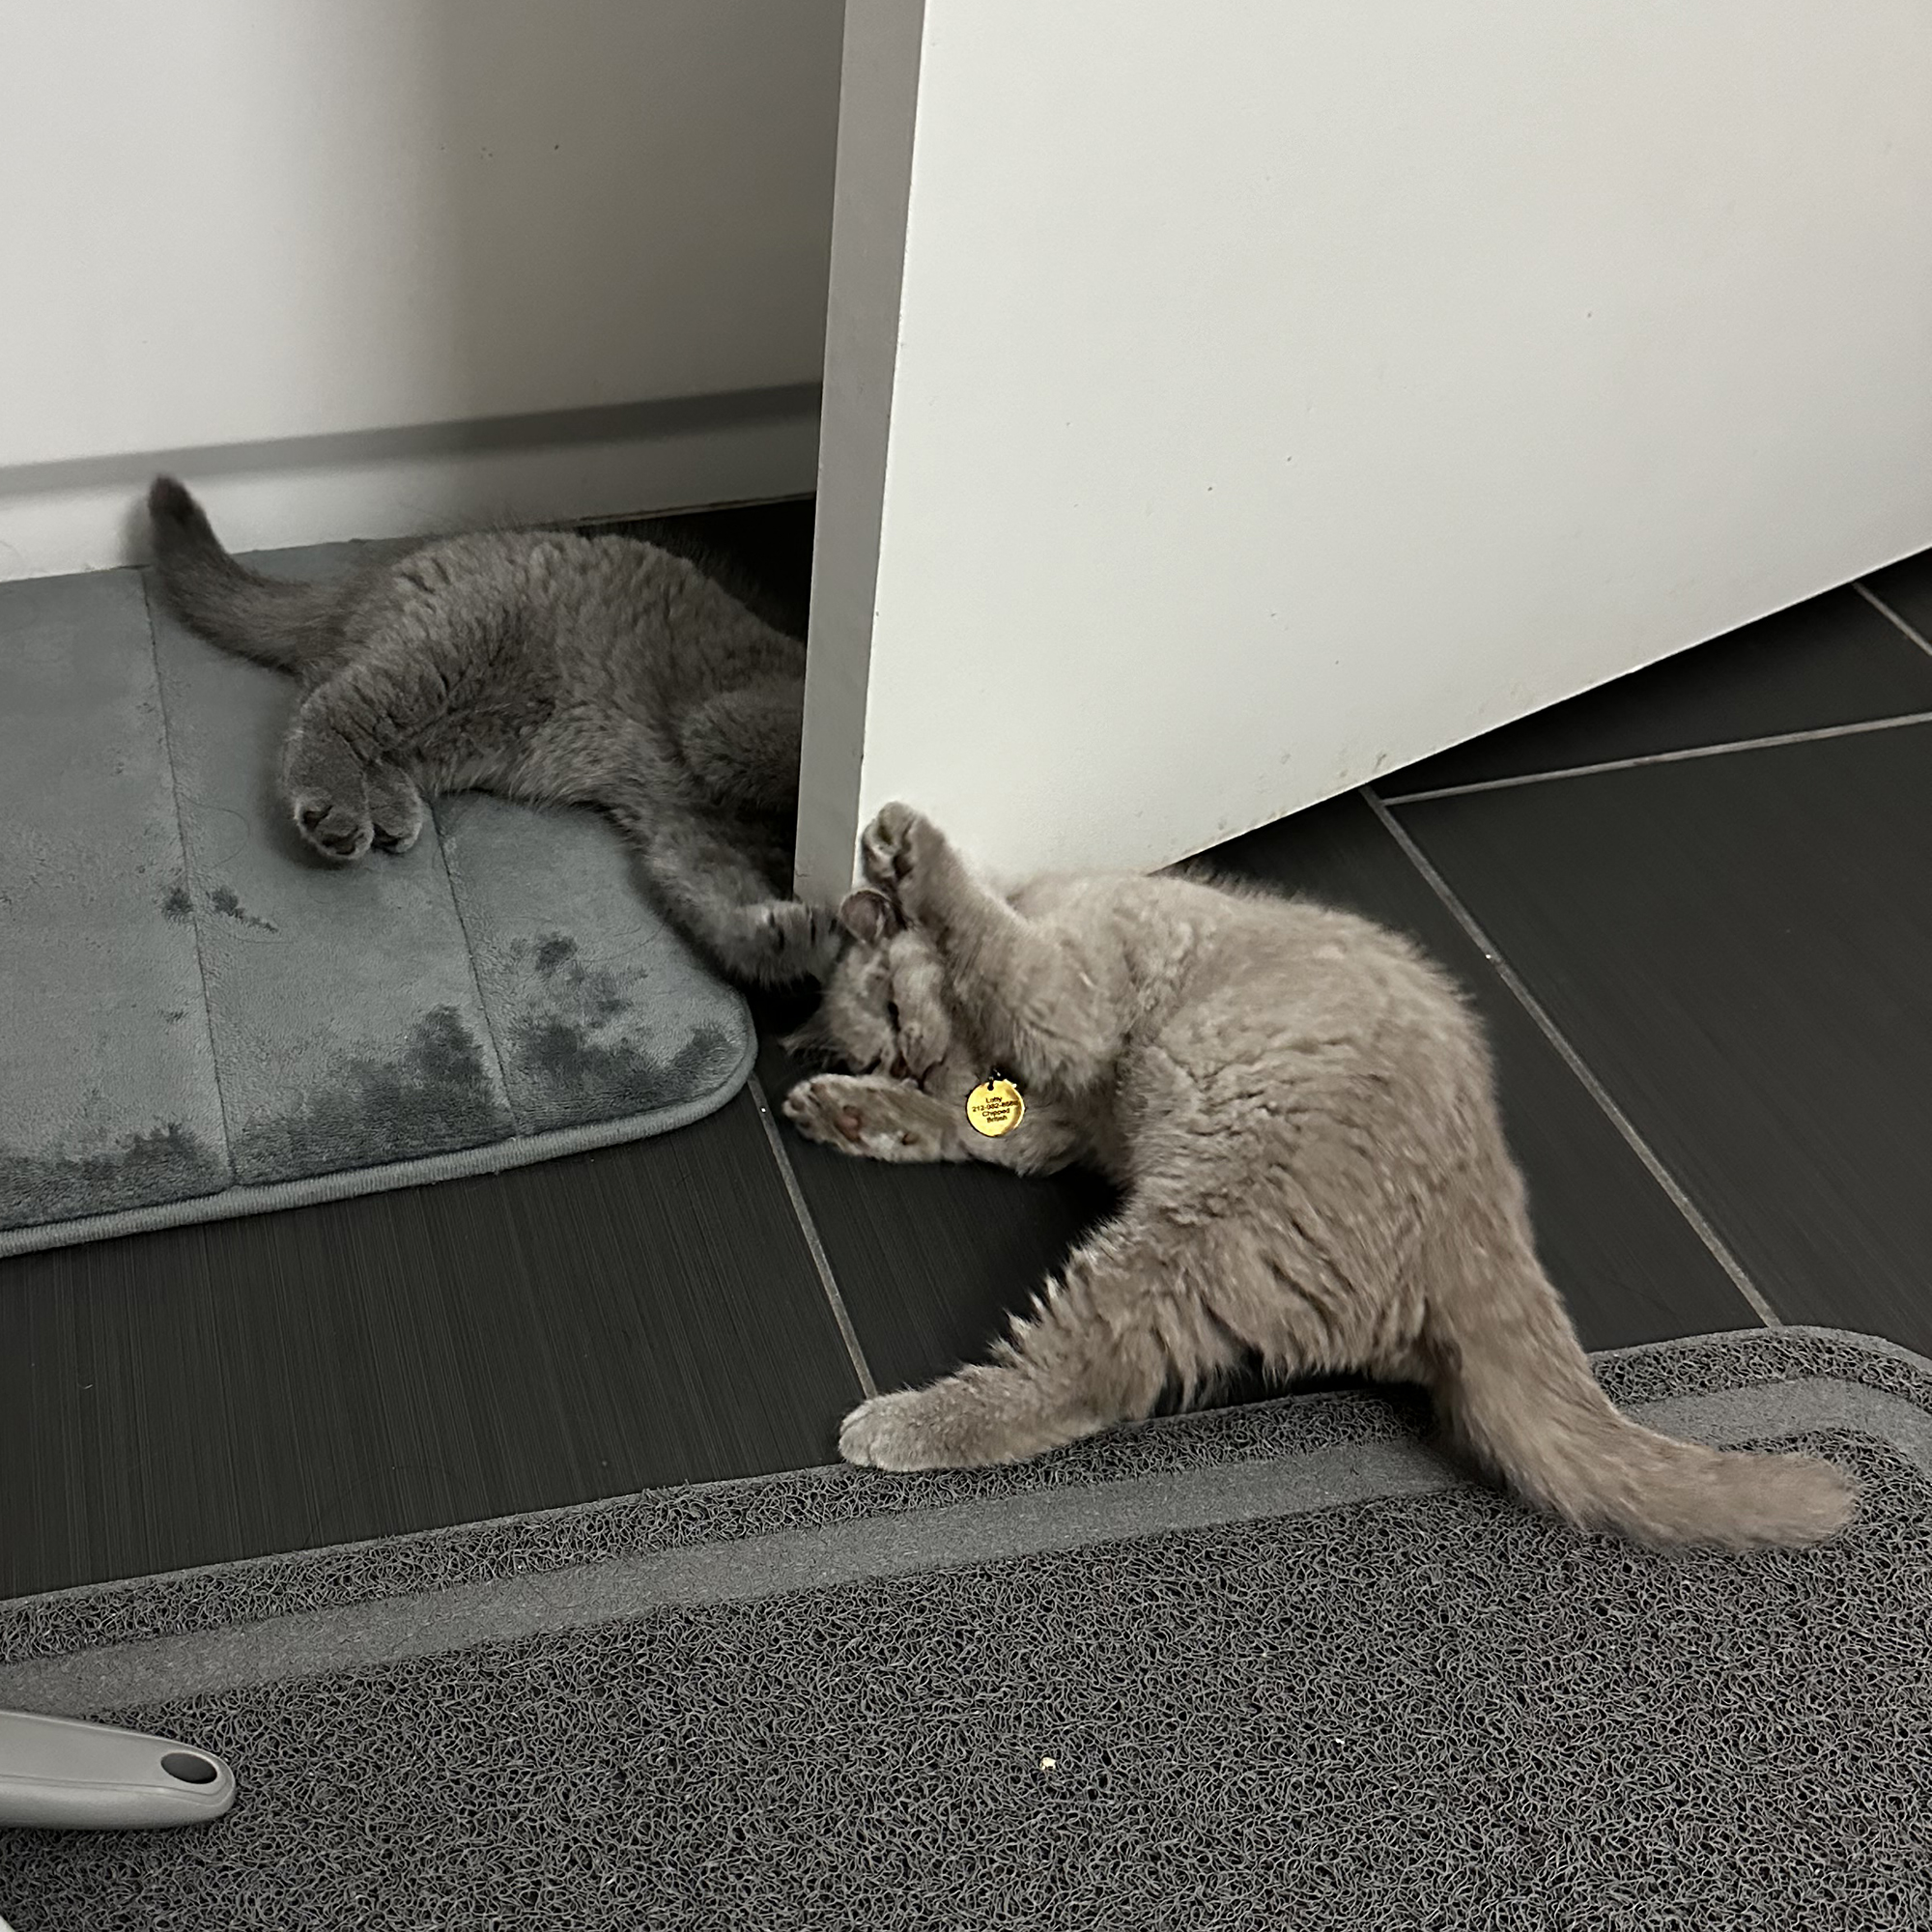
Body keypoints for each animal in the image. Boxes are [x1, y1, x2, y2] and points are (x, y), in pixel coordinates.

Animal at [147, 468, 842, 981]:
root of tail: (369, 581)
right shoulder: (726, 721)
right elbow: (769, 747)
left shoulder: (690, 830)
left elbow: (709, 890)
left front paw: (794, 939)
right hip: (452, 649)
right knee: (327, 703)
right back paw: (335, 808)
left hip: (476, 736)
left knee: (341, 697)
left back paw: (389, 808)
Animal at [784, 804, 1855, 1553]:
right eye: (878, 1050)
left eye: (893, 1008)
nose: (908, 1066)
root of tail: (1484, 1224)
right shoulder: (1046, 1121)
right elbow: (960, 1122)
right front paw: (847, 1110)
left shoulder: (1069, 992)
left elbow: (988, 938)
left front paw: (907, 847)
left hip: (1197, 1229)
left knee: (1085, 1374)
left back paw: (892, 1425)